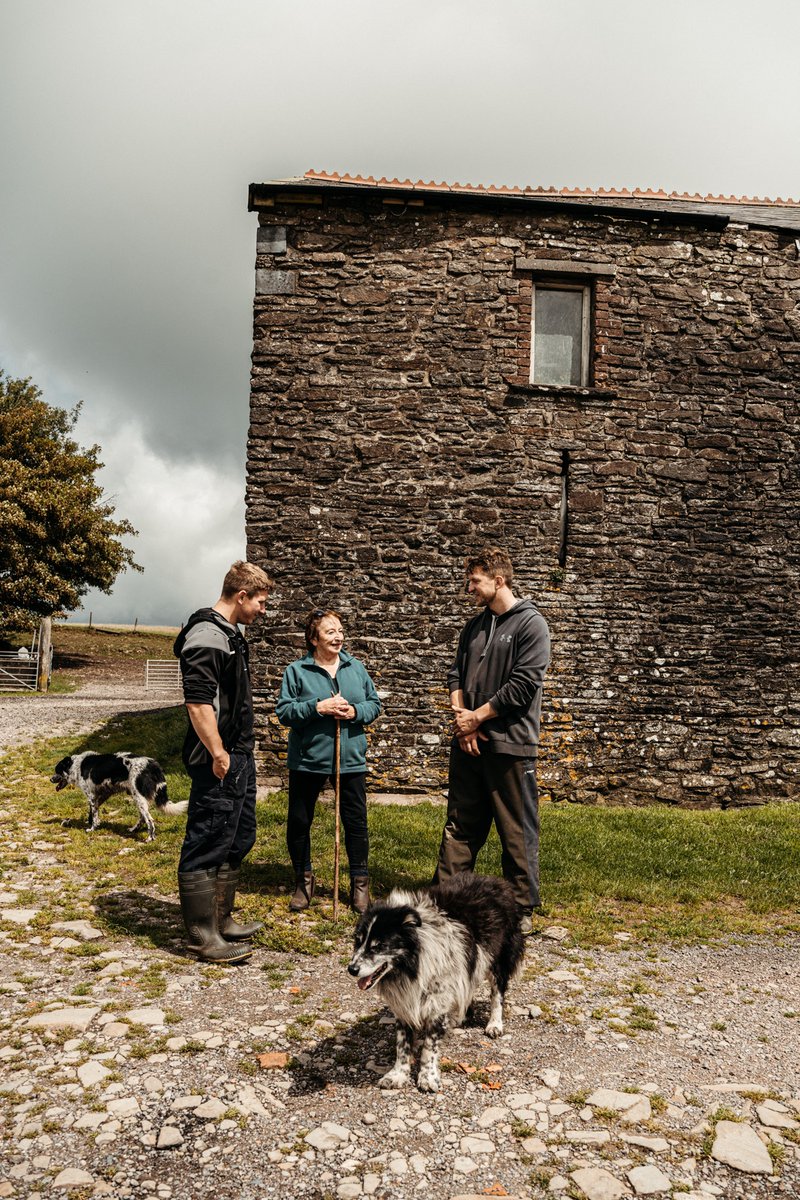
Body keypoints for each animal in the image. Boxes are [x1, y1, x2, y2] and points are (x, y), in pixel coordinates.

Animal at [51, 748, 188, 844]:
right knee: (142, 817)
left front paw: (92, 828)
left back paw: (149, 838)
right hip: (138, 798)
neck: (76, 765)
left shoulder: (91, 796)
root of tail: (153, 766)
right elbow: (94, 812)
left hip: (138, 797)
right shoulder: (102, 794)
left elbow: (94, 814)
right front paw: (92, 823)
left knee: (149, 820)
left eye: (57, 771)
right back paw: (133, 830)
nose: (50, 779)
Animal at [347, 873, 525, 1099]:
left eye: (379, 946)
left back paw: (494, 1024)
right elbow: (402, 1044)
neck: (413, 962)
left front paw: (427, 1077)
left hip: (499, 958)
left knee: (497, 994)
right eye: (358, 941)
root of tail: (497, 881)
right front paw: (397, 1075)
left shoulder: (437, 1002)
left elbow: (429, 1047)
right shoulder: (405, 1003)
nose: (351, 969)